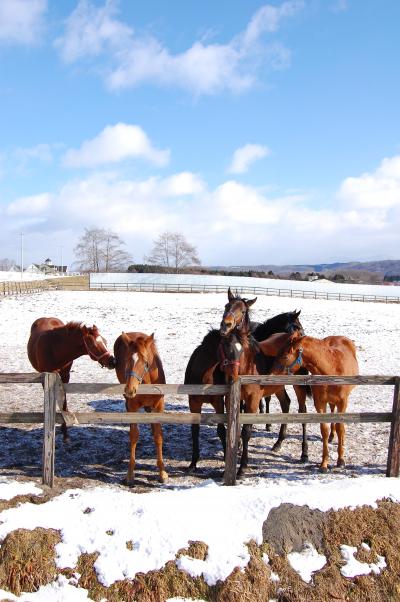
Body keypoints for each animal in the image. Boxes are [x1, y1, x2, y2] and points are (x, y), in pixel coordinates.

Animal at [113, 330, 168, 486]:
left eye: (145, 361)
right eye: (127, 360)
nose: (130, 389)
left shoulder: (159, 407)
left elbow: (158, 436)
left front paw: (162, 472)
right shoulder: (132, 408)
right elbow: (133, 436)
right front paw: (130, 474)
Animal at [219, 330, 310, 476]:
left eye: (241, 350)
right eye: (225, 348)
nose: (233, 375)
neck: (248, 367)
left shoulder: (253, 401)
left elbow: (246, 432)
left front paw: (242, 467)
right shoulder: (231, 400)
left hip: (299, 386)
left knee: (303, 413)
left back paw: (304, 453)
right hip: (277, 386)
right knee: (286, 404)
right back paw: (278, 443)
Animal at [272, 330, 360, 472]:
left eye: (285, 356)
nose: (271, 372)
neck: (332, 369)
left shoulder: (343, 403)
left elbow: (341, 428)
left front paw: (341, 460)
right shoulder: (320, 403)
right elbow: (324, 430)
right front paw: (324, 464)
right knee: (332, 410)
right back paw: (332, 436)